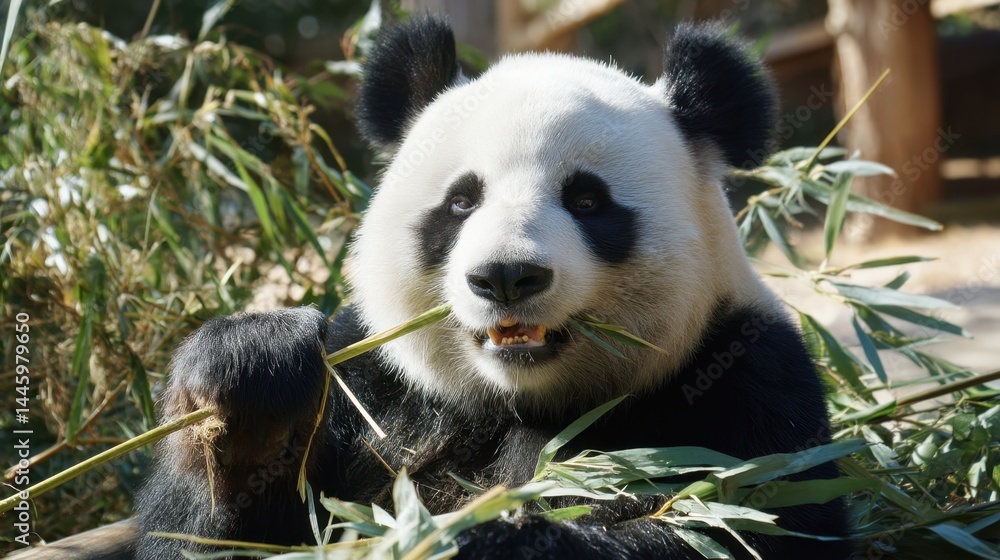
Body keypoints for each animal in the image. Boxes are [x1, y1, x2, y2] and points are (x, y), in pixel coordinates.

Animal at [135, 16, 853, 560]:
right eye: (461, 201)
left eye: (587, 200)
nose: (506, 276)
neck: (520, 401)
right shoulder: (379, 392)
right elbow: (210, 536)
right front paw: (252, 377)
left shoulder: (745, 380)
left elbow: (748, 525)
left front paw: (473, 539)